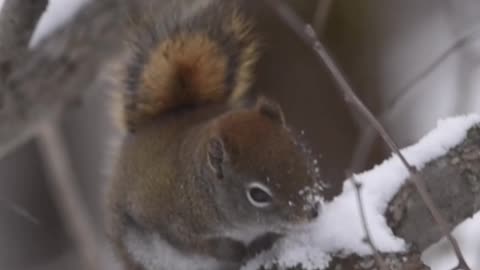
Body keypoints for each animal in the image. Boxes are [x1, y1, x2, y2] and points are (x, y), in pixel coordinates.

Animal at [105, 1, 322, 268]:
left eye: (301, 155)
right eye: (258, 194)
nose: (312, 211)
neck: (201, 193)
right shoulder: (172, 221)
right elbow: (202, 246)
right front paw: (237, 251)